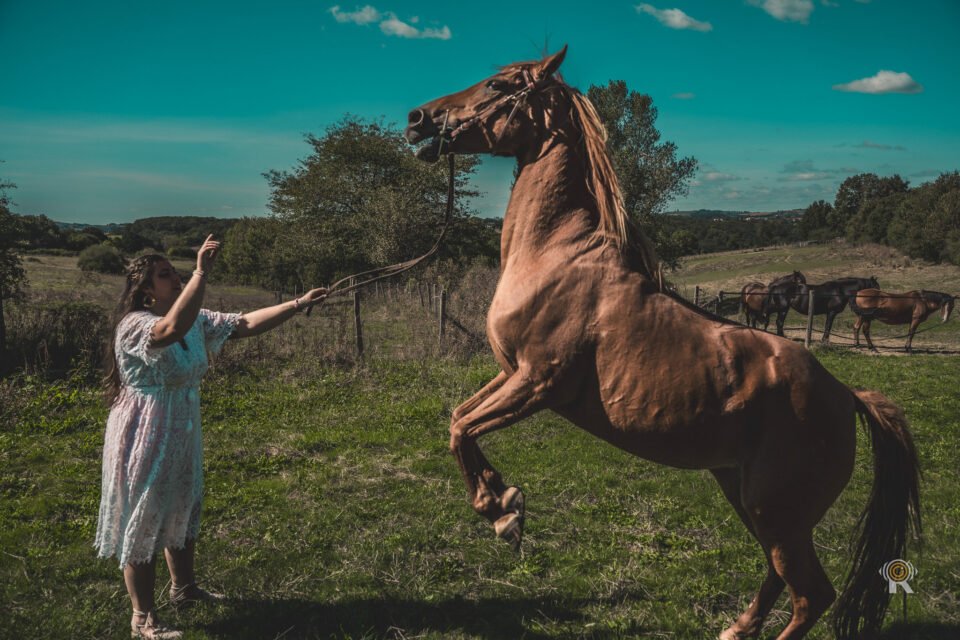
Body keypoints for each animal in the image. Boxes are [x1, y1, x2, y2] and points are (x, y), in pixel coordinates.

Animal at [405, 47, 920, 639]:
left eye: (496, 84)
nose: (418, 119)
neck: (556, 259)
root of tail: (848, 397)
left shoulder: (538, 382)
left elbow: (463, 428)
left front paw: (503, 513)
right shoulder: (509, 374)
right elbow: (459, 420)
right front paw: (506, 502)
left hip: (777, 511)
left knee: (812, 594)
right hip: (750, 500)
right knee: (779, 575)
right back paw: (736, 628)